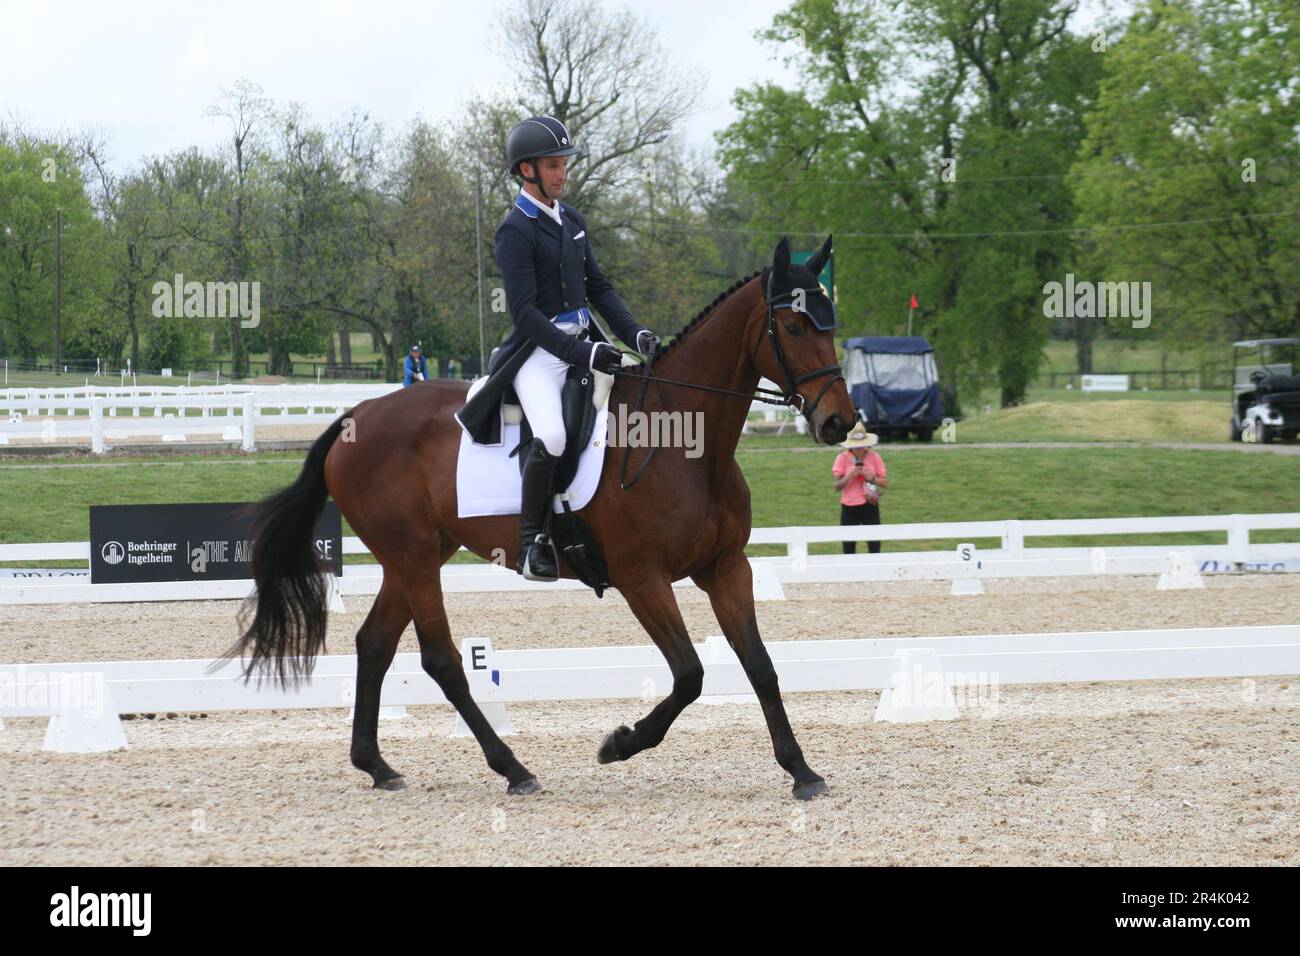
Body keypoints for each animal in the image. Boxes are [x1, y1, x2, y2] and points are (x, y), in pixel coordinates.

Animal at [230, 234, 855, 800]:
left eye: (831, 326)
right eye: (794, 328)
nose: (839, 423)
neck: (682, 441)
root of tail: (355, 415)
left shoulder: (726, 568)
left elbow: (761, 666)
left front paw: (801, 771)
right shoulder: (642, 578)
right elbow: (690, 674)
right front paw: (619, 743)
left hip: (416, 555)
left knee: (375, 644)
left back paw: (377, 766)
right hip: (413, 558)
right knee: (441, 659)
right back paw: (512, 768)